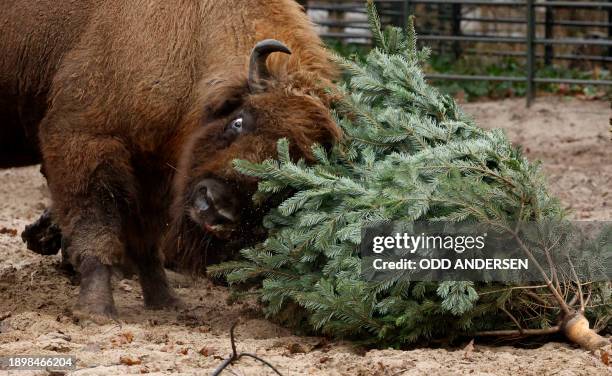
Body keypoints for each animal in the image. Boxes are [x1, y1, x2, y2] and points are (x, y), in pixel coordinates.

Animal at [1, 0, 340, 322]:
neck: (193, 37)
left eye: (289, 173)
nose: (216, 207)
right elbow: (97, 226)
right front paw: (96, 311)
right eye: (239, 121)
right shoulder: (84, 140)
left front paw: (166, 302)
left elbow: (147, 240)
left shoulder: (154, 171)